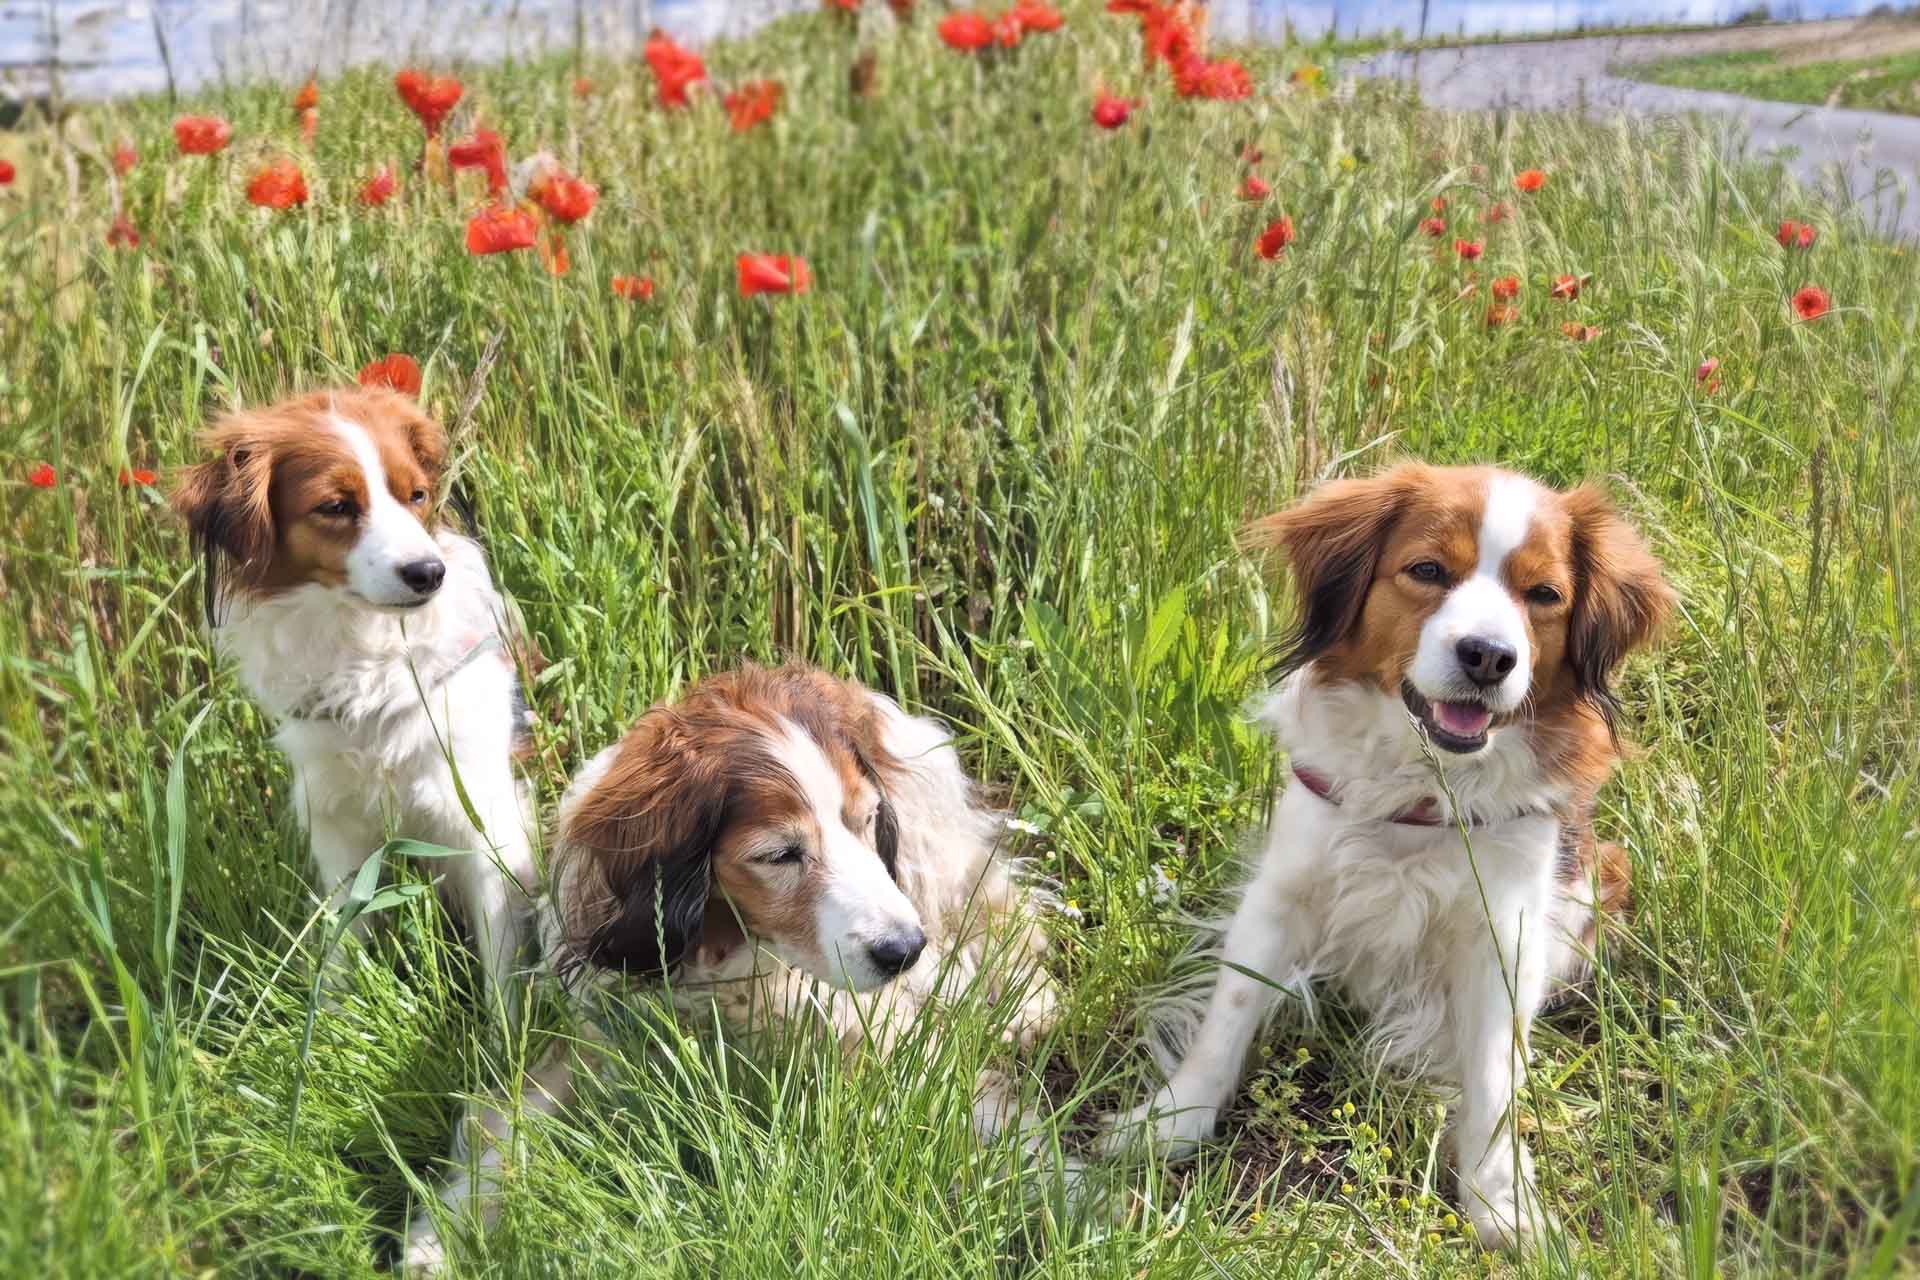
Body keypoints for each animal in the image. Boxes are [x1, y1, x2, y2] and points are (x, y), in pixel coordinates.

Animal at [172, 385, 537, 1005]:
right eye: (336, 506)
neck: (370, 652)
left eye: (416, 495)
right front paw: (333, 1016)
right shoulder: (336, 827)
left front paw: (511, 1033)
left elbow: (501, 968)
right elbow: (339, 946)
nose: (428, 572)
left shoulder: (480, 819)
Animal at [407, 667, 1067, 1266]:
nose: (904, 950)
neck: (734, 959)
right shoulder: (606, 1034)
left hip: (929, 848)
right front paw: (444, 1230)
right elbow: (513, 1123)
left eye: (864, 822)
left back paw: (1021, 1002)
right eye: (779, 855)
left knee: (994, 905)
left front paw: (1070, 1194)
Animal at [1105, 462, 1674, 1251]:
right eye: (1427, 570)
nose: (1488, 656)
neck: (1422, 789)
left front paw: (1499, 1202)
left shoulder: (1503, 935)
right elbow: (1227, 1016)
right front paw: (1171, 1124)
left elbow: (1495, 1078)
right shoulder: (1283, 894)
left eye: (1543, 595)